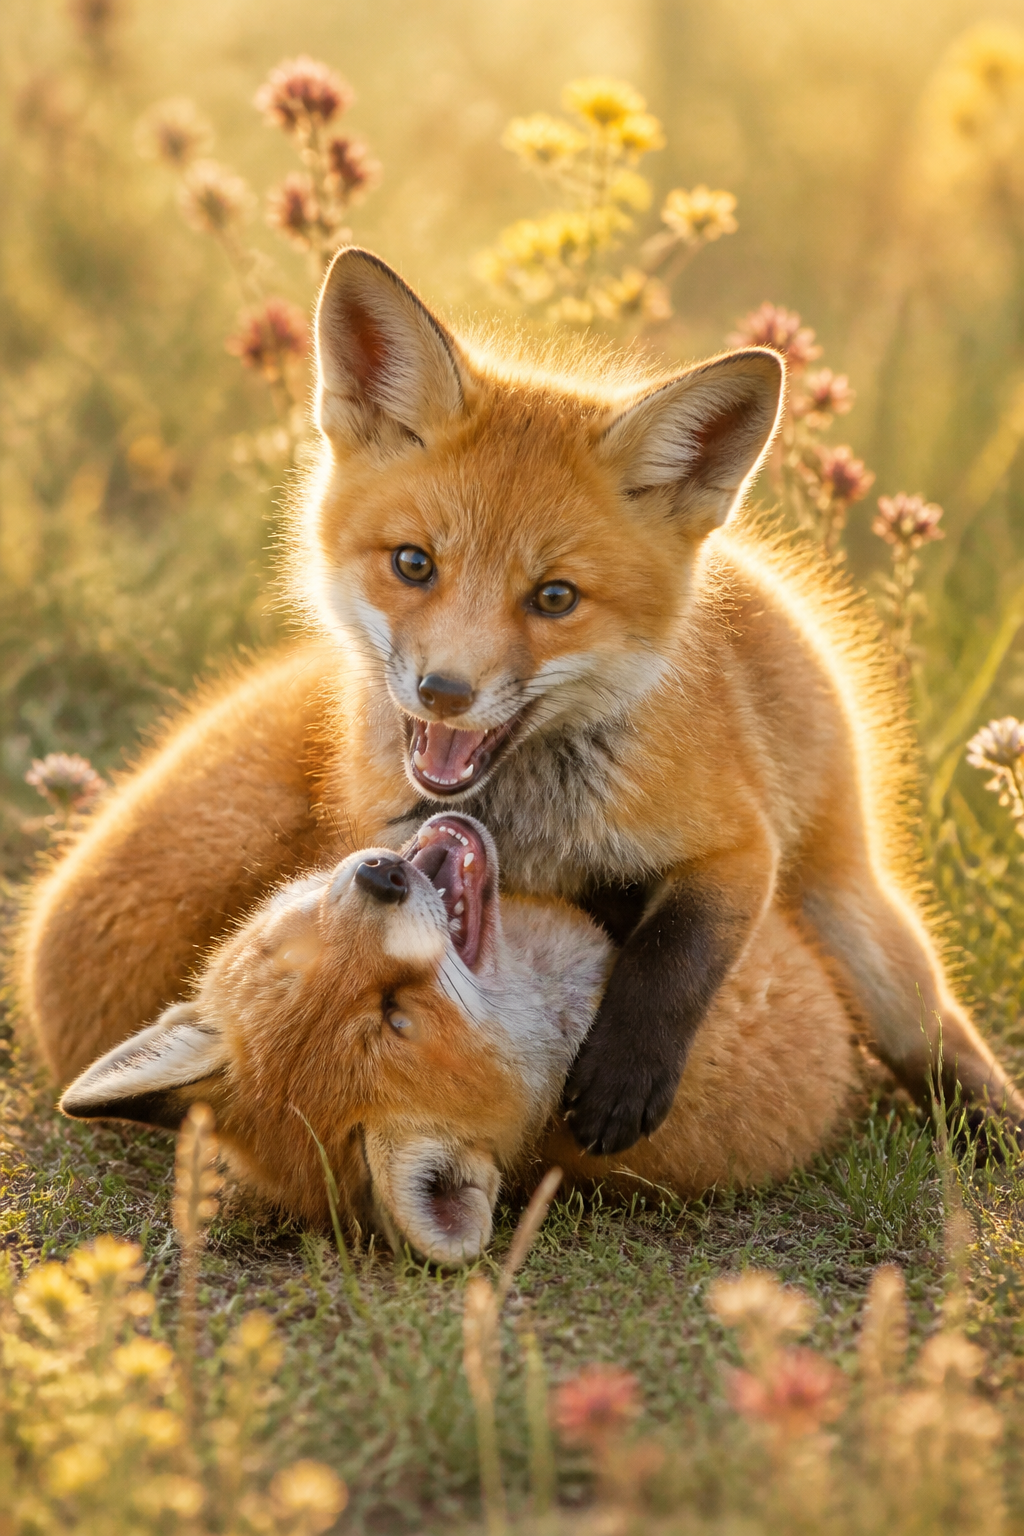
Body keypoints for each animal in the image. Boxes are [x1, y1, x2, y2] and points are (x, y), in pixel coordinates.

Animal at [19, 246, 1024, 1155]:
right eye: (413, 563)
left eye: (554, 598)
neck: (532, 823)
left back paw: (990, 1120)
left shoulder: (737, 843)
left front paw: (622, 1077)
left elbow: (675, 956)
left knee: (932, 1035)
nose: (445, 691)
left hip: (852, 915)